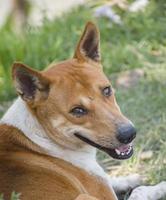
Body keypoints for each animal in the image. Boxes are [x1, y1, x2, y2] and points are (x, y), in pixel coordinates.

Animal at [0, 21, 165, 199]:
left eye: (107, 90)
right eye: (77, 111)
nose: (129, 134)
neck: (41, 140)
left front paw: (129, 179)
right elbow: (139, 191)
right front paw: (159, 186)